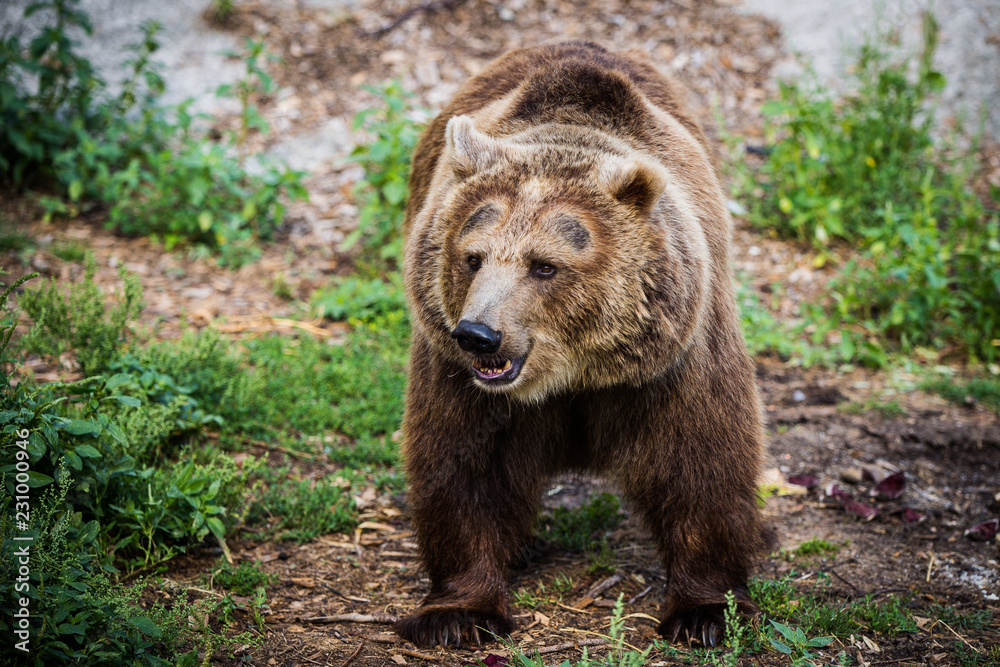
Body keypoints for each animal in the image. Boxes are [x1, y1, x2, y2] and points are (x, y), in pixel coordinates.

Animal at [395, 41, 770, 649]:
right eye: (473, 256)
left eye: (544, 265)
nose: (478, 334)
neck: (575, 375)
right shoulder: (458, 377)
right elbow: (462, 468)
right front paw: (457, 614)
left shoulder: (673, 363)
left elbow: (702, 463)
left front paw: (707, 613)